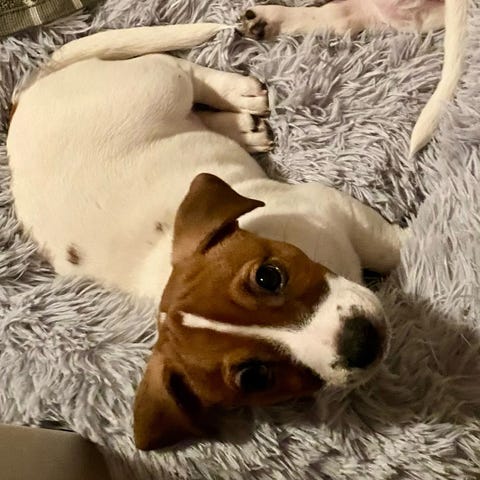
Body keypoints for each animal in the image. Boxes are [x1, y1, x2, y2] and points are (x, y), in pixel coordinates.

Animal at [6, 24, 408, 450]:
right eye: (254, 377)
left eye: (268, 276)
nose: (361, 343)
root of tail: (24, 98)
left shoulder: (335, 209)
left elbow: (388, 246)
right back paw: (244, 127)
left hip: (154, 85)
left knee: (182, 70)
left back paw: (240, 94)